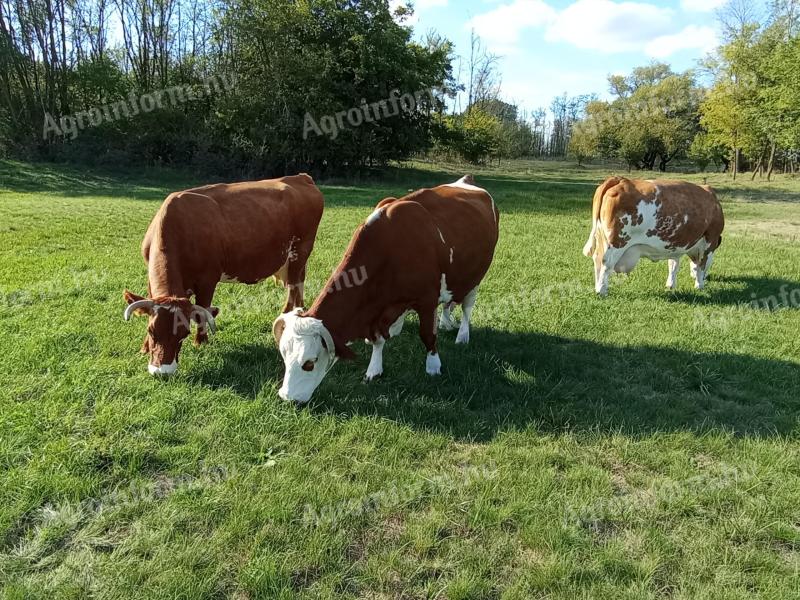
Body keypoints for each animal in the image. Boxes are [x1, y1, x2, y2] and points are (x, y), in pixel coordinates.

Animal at [123, 173, 324, 378]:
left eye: (183, 334)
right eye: (151, 330)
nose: (162, 372)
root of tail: (300, 177)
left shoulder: (207, 280)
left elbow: (202, 311)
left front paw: (200, 342)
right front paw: (144, 348)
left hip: (300, 251)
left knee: (294, 286)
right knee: (297, 284)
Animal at [276, 176, 500, 406]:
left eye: (309, 363)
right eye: (284, 357)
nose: (287, 398)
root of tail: (466, 180)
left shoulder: (426, 299)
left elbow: (427, 334)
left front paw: (433, 366)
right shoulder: (379, 308)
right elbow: (377, 339)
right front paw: (374, 369)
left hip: (475, 277)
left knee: (467, 307)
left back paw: (462, 335)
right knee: (449, 302)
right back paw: (443, 322)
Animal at [580, 176, 724, 298]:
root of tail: (621, 179)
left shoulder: (675, 244)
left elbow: (673, 264)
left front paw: (670, 285)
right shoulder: (710, 241)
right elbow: (702, 265)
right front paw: (699, 285)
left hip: (601, 237)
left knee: (597, 259)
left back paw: (597, 287)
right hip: (617, 242)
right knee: (606, 262)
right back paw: (601, 290)